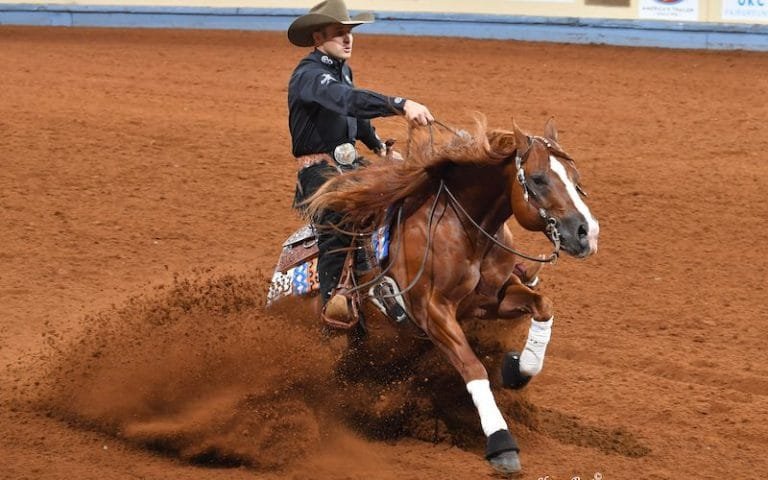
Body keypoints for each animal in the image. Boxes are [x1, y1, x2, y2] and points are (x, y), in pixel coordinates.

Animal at [282, 117, 599, 474]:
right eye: (539, 179)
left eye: (575, 178)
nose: (587, 233)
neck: (464, 228)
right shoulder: (432, 311)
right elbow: (473, 368)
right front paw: (502, 443)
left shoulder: (491, 300)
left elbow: (544, 306)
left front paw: (518, 369)